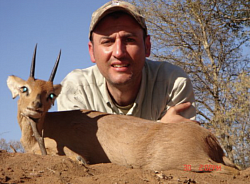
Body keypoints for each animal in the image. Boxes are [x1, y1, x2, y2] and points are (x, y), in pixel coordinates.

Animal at [6, 45, 239, 174]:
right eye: (25, 88)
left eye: (50, 95)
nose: (35, 107)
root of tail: (208, 137)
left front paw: (77, 158)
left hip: (191, 162)